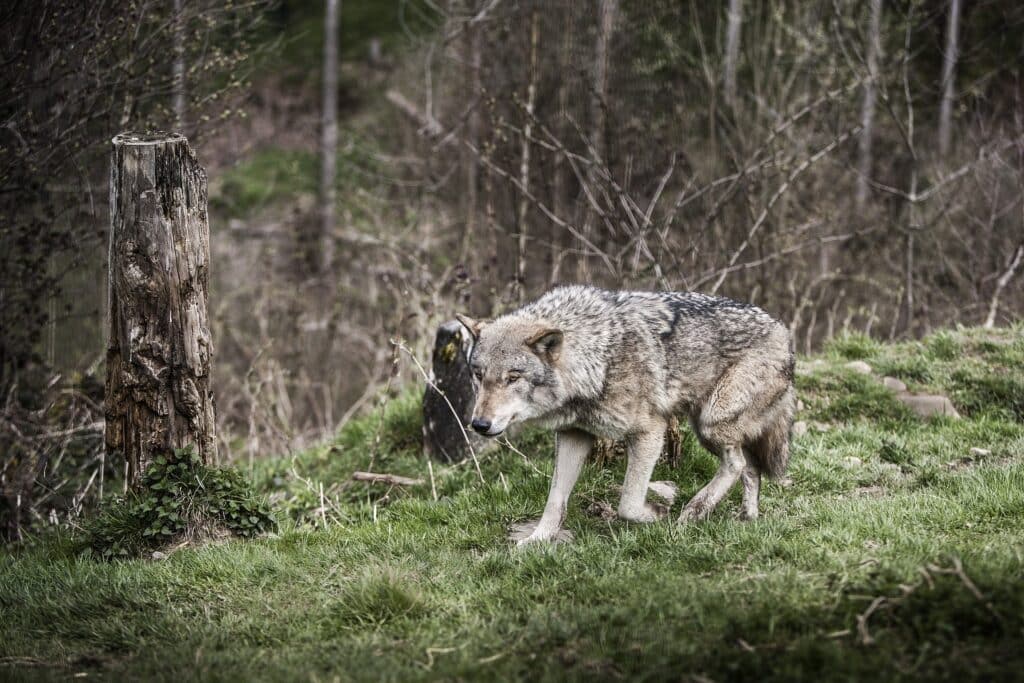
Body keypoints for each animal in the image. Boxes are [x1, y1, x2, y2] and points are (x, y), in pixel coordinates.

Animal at [458, 286, 798, 548]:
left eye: (513, 378)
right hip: (710, 427)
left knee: (737, 463)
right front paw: (536, 540)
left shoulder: (650, 432)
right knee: (750, 467)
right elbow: (555, 501)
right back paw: (745, 517)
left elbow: (628, 504)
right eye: (478, 375)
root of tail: (783, 331)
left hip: (711, 423)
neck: (598, 359)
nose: (479, 424)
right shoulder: (573, 435)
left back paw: (693, 512)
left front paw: (656, 515)